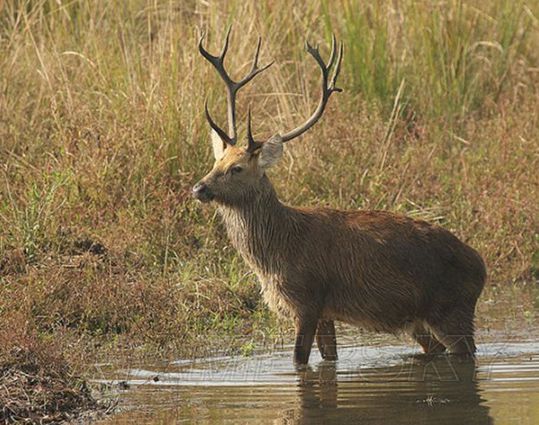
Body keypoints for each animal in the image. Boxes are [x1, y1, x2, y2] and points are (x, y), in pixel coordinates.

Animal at [195, 29, 490, 366]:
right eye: (216, 162)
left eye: (237, 168)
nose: (199, 188)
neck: (276, 253)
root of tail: (481, 267)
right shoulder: (325, 312)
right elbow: (328, 358)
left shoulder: (307, 300)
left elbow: (299, 361)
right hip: (419, 320)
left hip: (452, 309)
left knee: (466, 352)